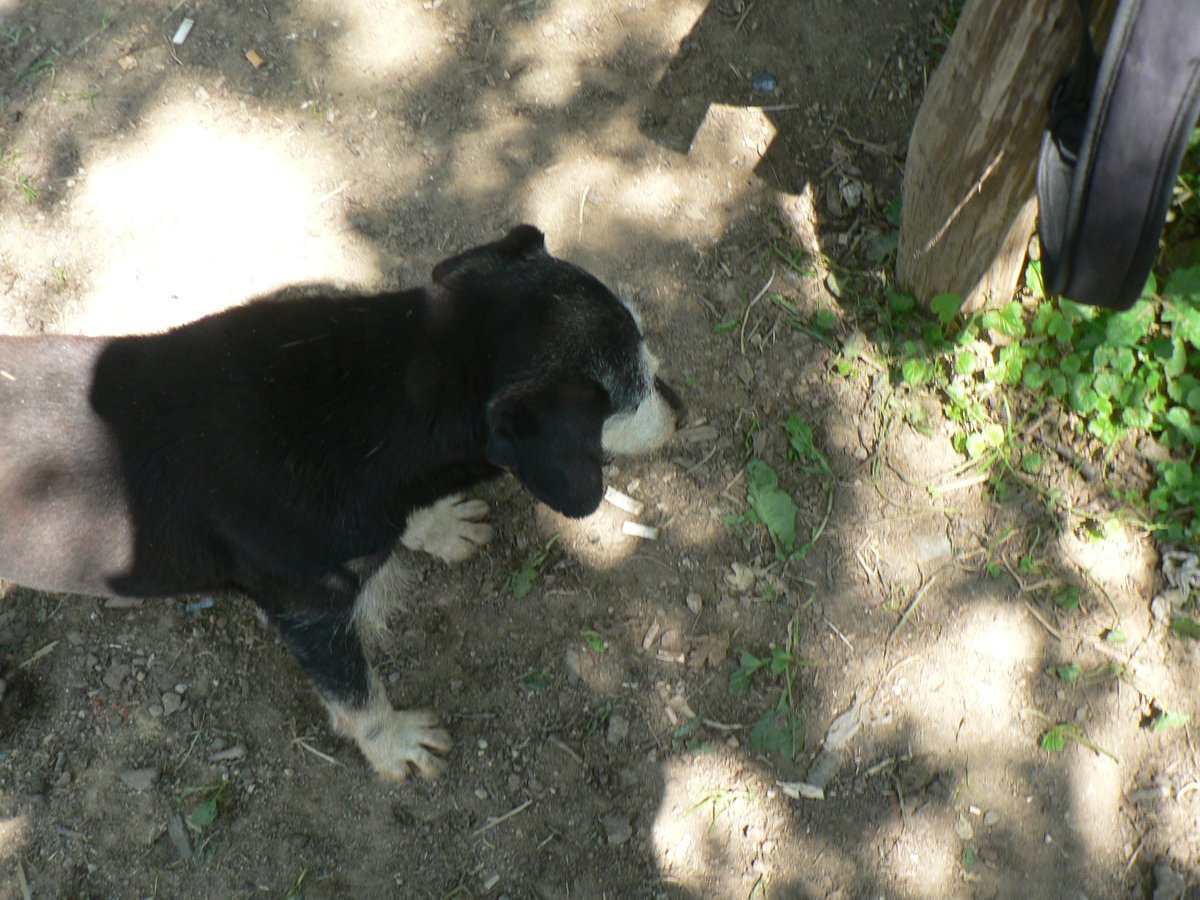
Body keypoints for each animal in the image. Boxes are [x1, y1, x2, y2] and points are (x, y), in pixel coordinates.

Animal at [0, 225, 681, 780]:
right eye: (628, 394)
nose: (682, 405)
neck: (382, 392)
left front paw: (439, 527)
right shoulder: (310, 614)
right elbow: (358, 696)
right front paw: (397, 746)